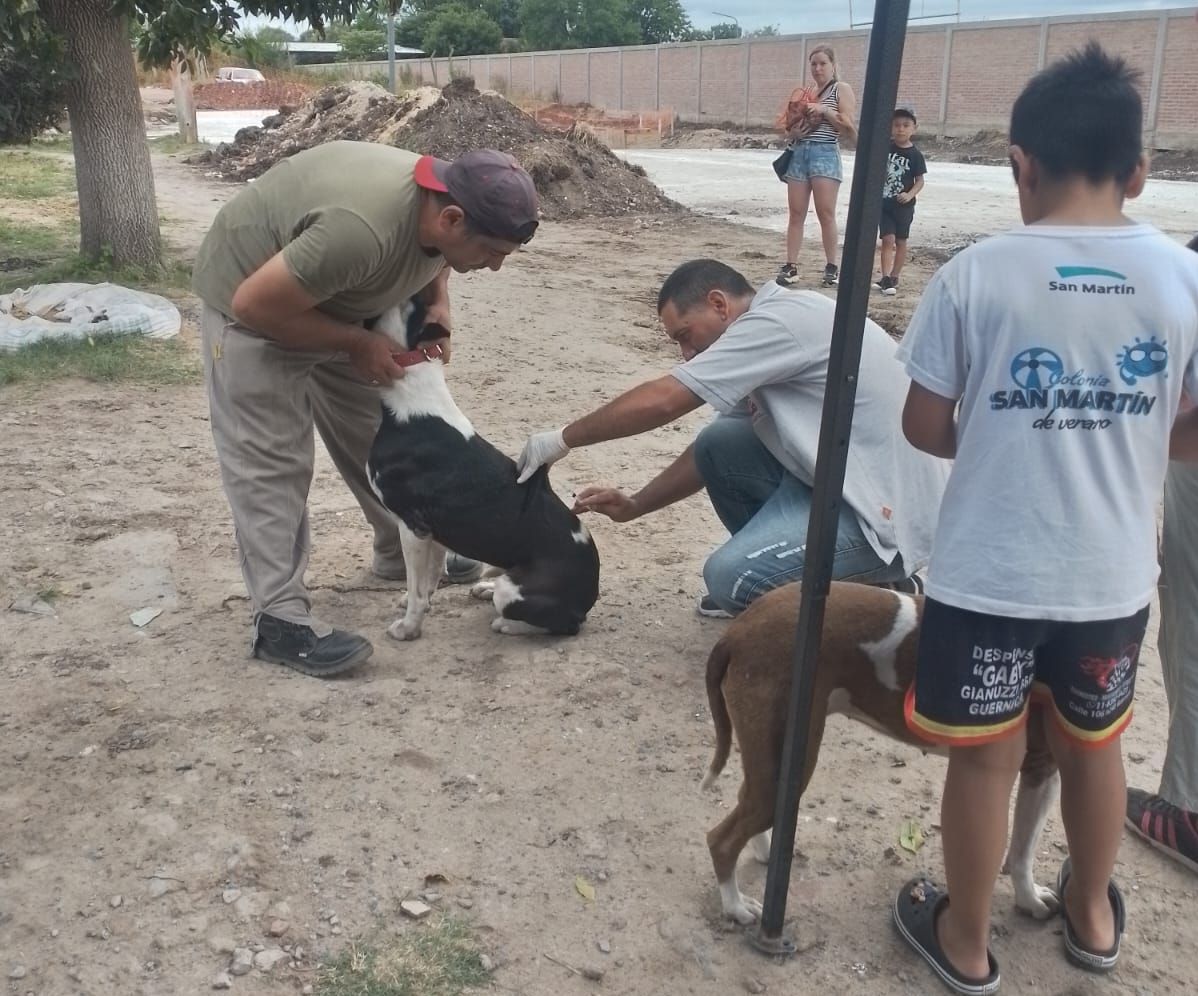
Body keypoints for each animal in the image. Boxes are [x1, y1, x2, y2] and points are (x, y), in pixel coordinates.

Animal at [364, 299, 599, 637]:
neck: (416, 400)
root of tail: (589, 595)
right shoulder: (433, 531)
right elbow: (429, 578)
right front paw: (420, 603)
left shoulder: (412, 526)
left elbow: (417, 586)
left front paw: (409, 627)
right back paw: (486, 589)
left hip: (515, 592)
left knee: (562, 626)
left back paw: (507, 623)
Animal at [699, 584, 1059, 925]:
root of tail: (737, 631)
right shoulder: (1039, 767)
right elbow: (1023, 852)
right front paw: (1029, 899)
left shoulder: (1046, 772)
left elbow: (1023, 846)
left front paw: (1028, 898)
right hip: (786, 766)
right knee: (721, 840)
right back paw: (736, 906)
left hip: (769, 763)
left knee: (744, 805)